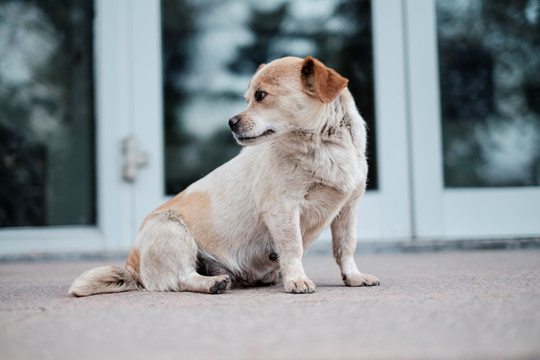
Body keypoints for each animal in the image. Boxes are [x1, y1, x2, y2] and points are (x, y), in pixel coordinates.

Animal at [68, 56, 380, 296]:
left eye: (261, 96)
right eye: (247, 98)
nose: (231, 122)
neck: (325, 147)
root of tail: (133, 266)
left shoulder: (348, 208)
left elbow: (345, 247)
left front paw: (353, 276)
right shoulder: (283, 209)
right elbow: (293, 248)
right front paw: (297, 280)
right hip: (172, 229)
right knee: (180, 278)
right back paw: (212, 283)